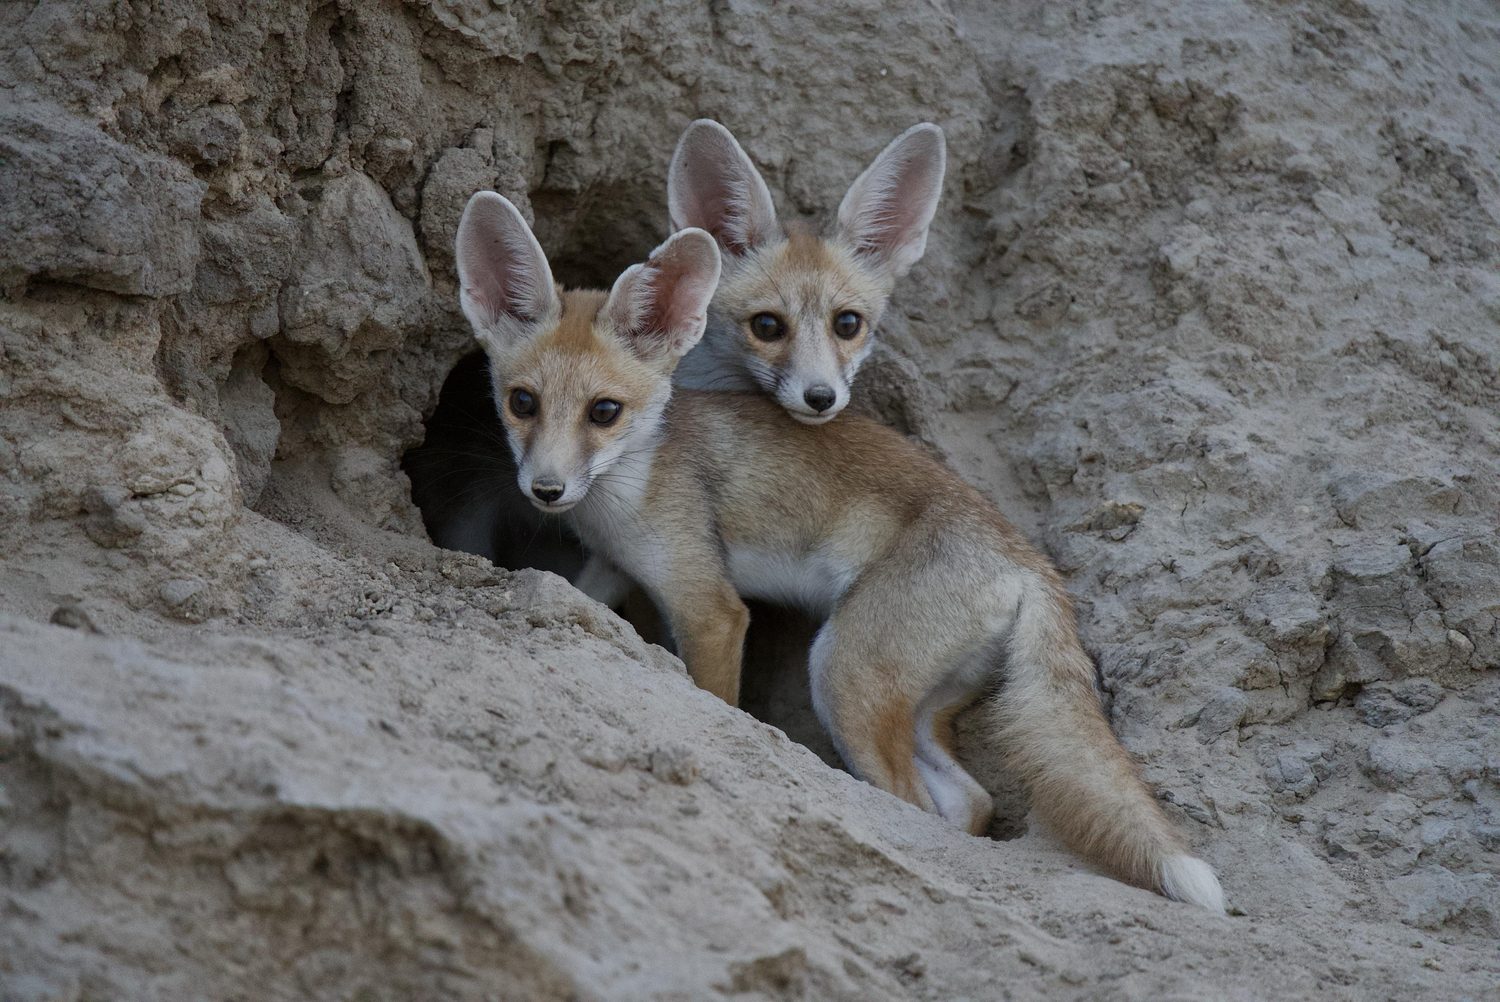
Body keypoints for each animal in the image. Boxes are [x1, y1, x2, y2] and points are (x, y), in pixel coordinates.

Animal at [452, 190, 1227, 911]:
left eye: (604, 412)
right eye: (522, 402)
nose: (547, 489)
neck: (634, 478)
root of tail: (1032, 563)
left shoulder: (709, 607)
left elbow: (714, 697)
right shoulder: (615, 565)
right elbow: (583, 595)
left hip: (840, 673)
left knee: (916, 805)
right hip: (911, 704)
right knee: (970, 802)